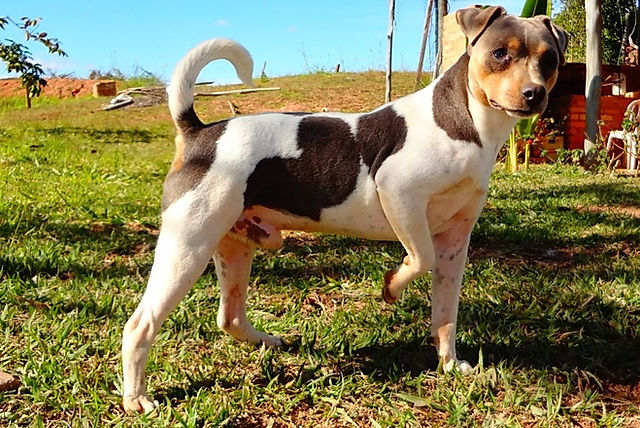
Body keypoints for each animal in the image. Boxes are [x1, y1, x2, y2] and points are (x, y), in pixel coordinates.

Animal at [122, 6, 568, 412]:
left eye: (549, 59)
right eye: (500, 53)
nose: (534, 94)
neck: (467, 121)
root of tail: (198, 132)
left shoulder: (455, 242)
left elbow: (446, 313)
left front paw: (448, 364)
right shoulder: (399, 191)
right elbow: (418, 258)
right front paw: (391, 287)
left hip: (234, 246)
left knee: (228, 317)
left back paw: (268, 341)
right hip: (187, 248)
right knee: (139, 325)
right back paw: (136, 399)